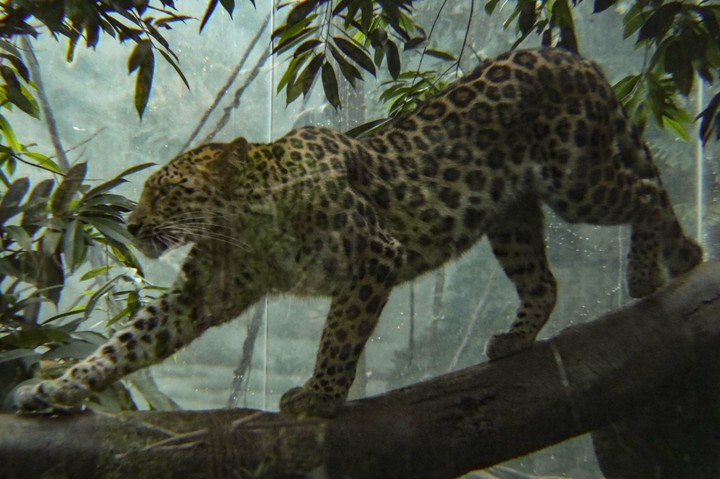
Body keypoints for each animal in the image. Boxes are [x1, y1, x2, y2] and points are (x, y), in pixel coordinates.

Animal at [16, 47, 702, 417]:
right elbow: (124, 345)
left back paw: (650, 270)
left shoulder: (374, 253)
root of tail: (571, 55)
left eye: (167, 191)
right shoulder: (199, 293)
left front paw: (319, 397)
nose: (132, 224)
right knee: (545, 281)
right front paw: (55, 387)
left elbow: (340, 336)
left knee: (646, 193)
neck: (245, 224)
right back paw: (516, 338)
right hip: (512, 218)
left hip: (576, 178)